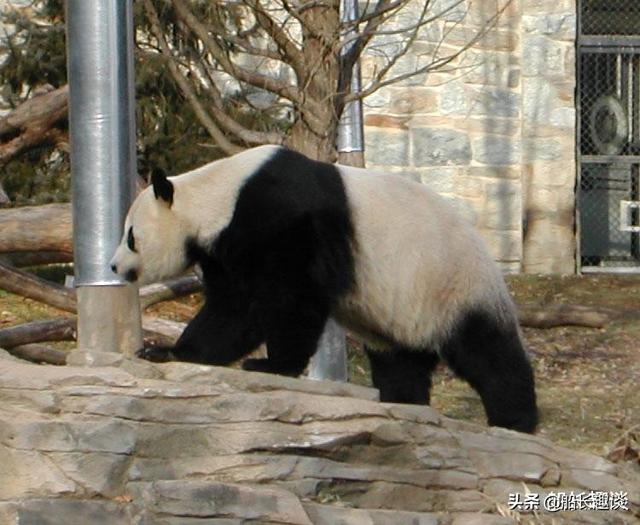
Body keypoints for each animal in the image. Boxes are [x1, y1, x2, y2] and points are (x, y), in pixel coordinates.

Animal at [111, 144, 540, 434]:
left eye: (131, 236)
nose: (114, 266)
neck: (218, 195)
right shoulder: (226, 244)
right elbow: (232, 309)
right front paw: (168, 352)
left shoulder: (282, 218)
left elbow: (288, 299)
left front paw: (271, 365)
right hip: (402, 310)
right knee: (400, 360)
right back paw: (404, 401)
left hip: (451, 283)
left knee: (488, 352)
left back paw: (514, 420)